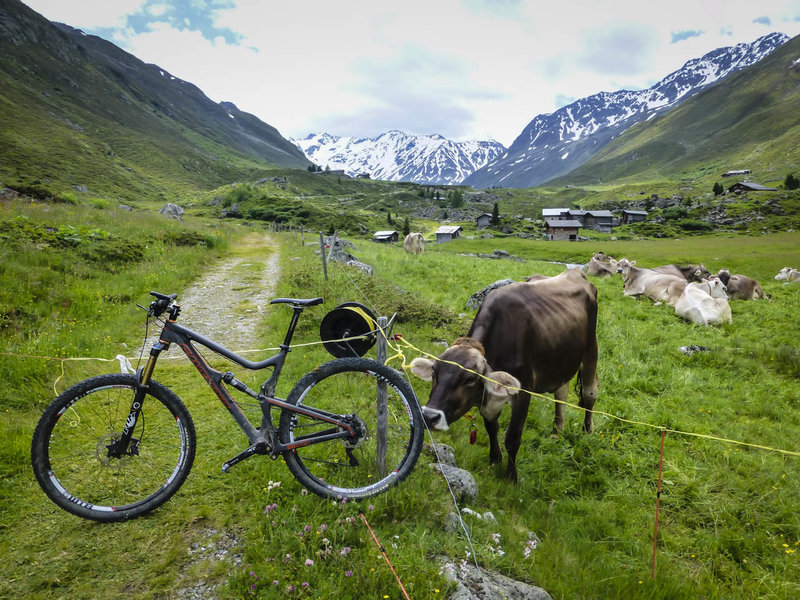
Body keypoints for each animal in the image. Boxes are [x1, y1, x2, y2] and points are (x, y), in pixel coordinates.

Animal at [410, 270, 596, 482]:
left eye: (470, 379)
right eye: (434, 371)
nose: (429, 416)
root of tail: (574, 272)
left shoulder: (523, 391)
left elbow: (513, 437)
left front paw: (511, 477)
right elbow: (491, 426)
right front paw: (495, 458)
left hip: (591, 347)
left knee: (590, 393)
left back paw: (587, 430)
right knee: (561, 391)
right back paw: (557, 432)